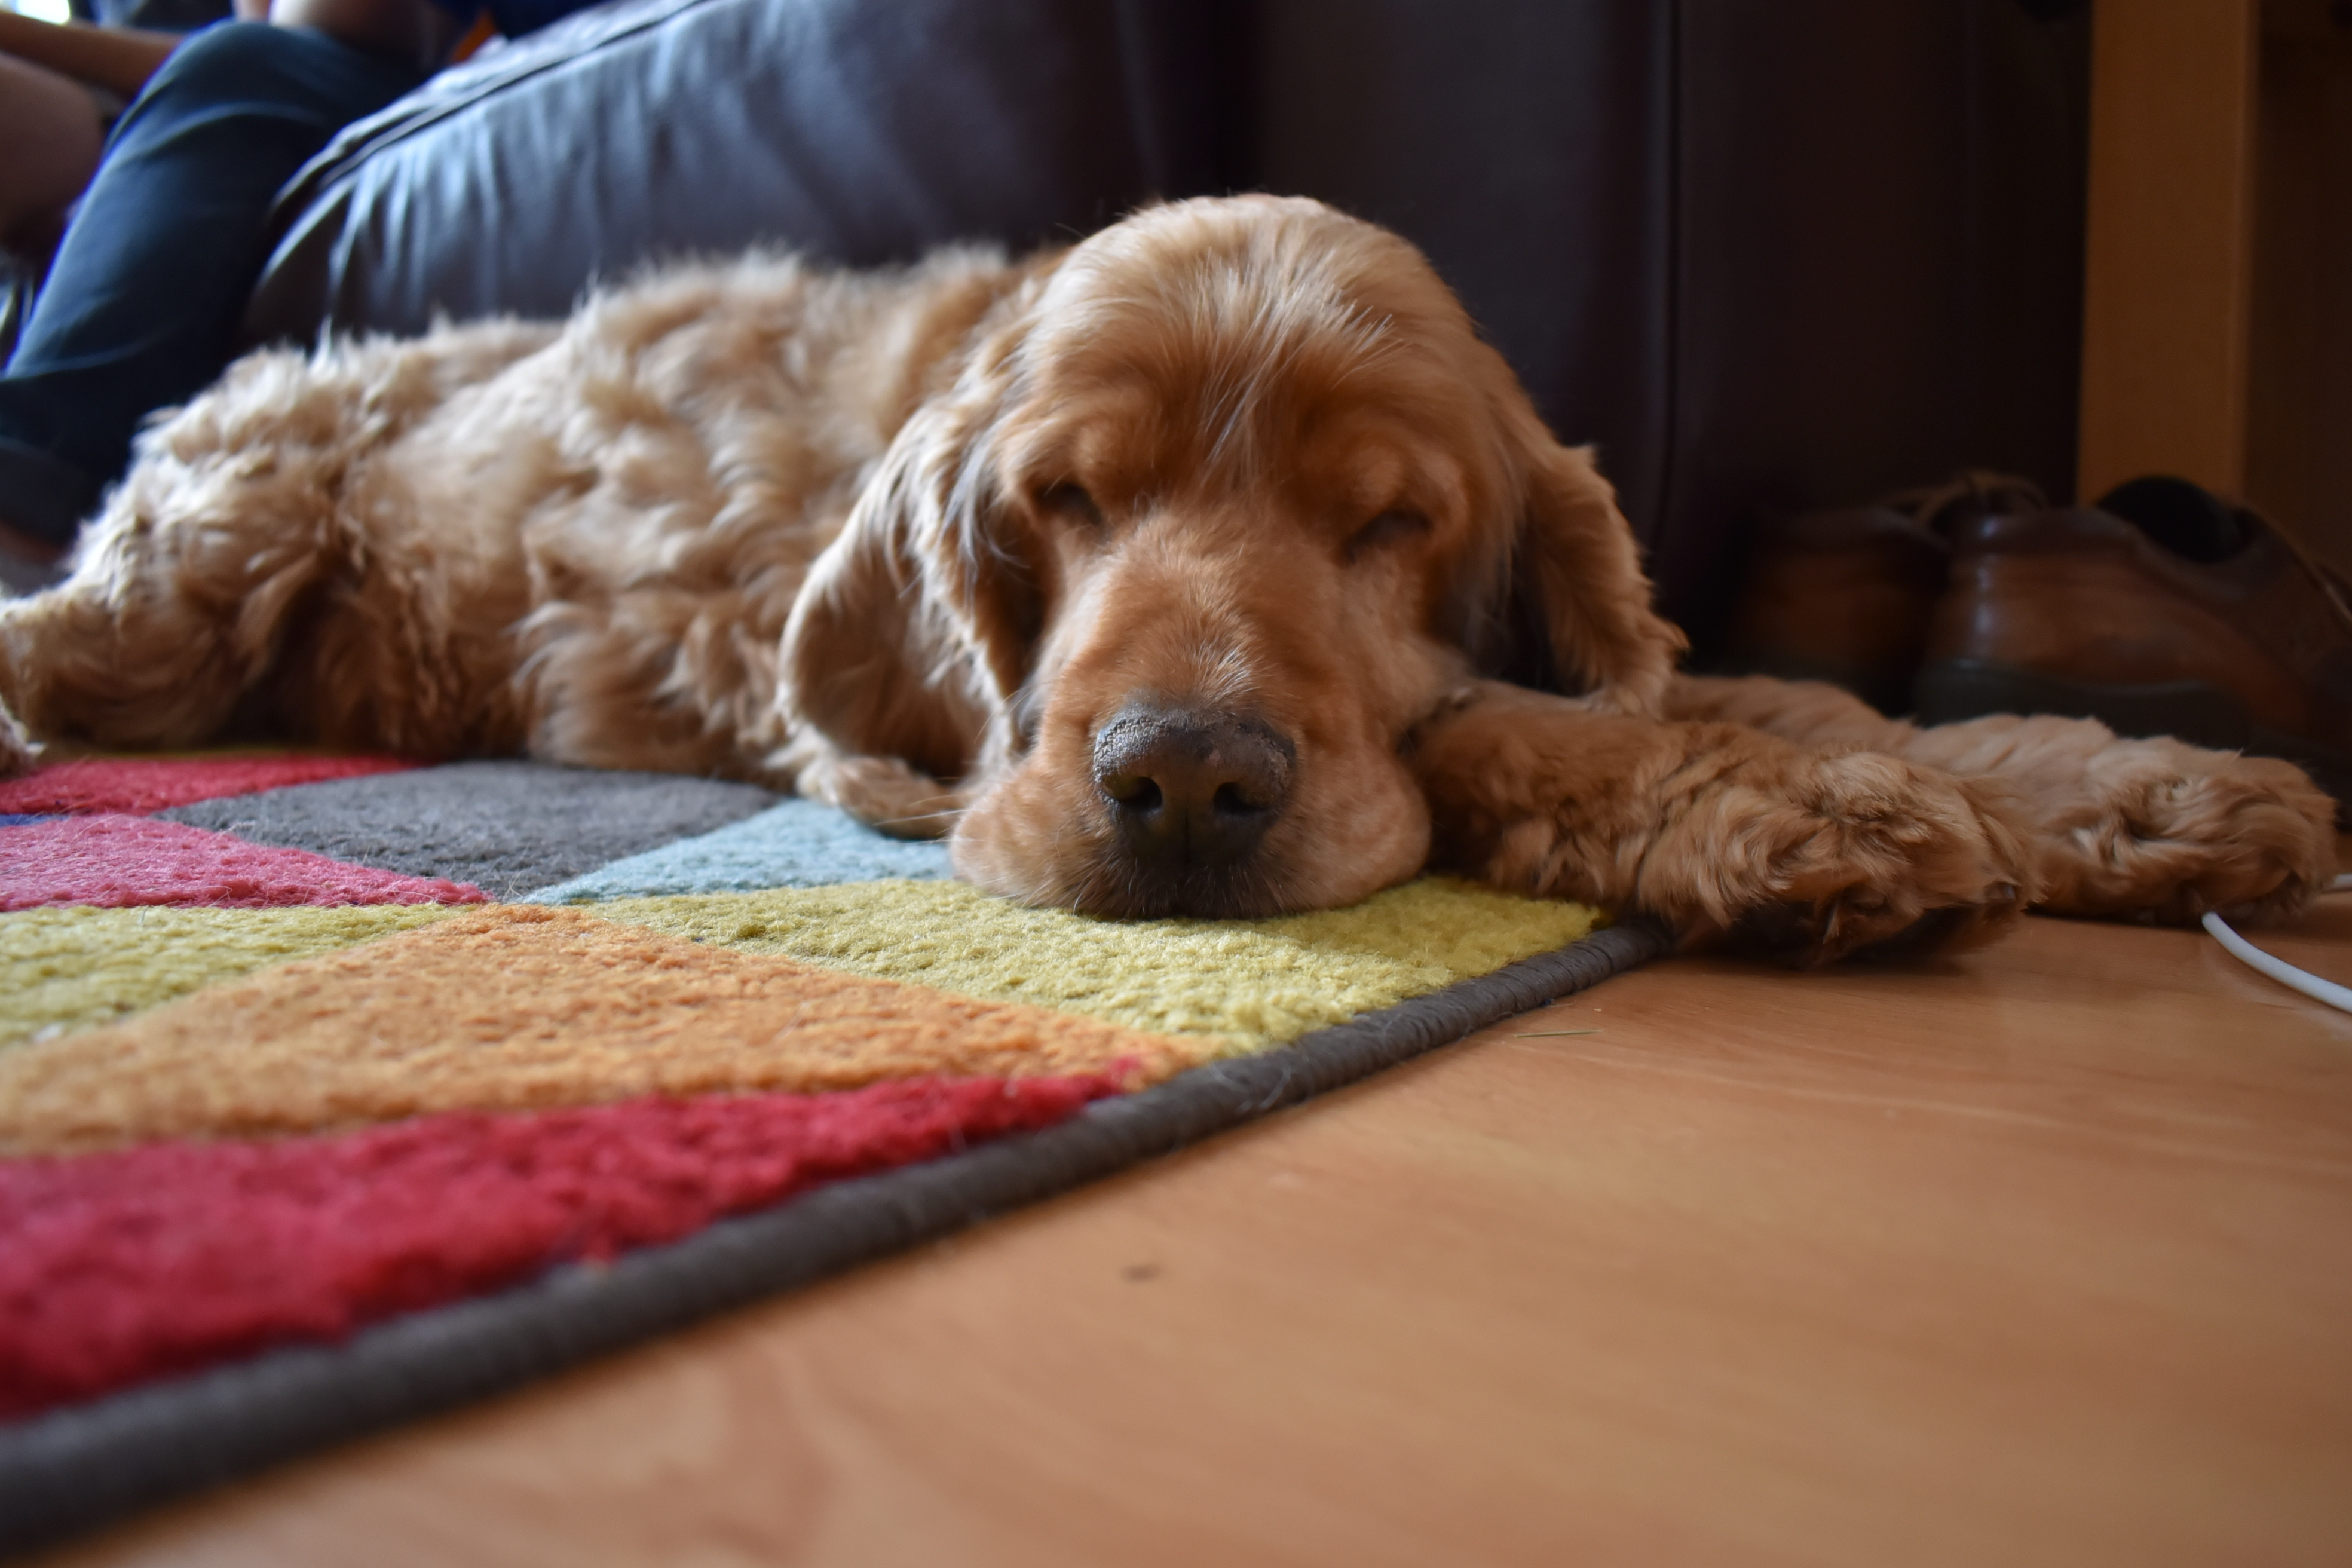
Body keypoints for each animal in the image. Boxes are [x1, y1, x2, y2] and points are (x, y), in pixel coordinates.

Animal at [0, 195, 2333, 961]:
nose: (1189, 784)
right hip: (194, 564)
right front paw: (1806, 817)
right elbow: (1500, 724)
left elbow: (1742, 681)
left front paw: (2125, 785)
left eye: (1387, 522)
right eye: (1061, 498)